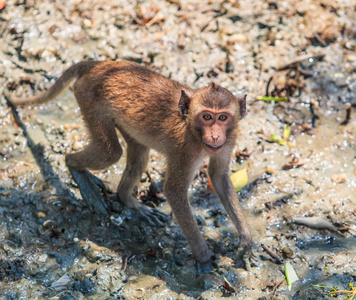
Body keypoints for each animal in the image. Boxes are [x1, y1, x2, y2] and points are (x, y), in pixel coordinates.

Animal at [6, 61, 252, 270]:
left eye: (223, 118)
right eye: (207, 117)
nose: (215, 136)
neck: (193, 129)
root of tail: (98, 65)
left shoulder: (229, 140)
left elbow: (218, 177)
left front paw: (246, 241)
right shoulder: (185, 148)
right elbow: (174, 190)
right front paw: (204, 258)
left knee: (139, 153)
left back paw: (127, 199)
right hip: (88, 98)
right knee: (110, 152)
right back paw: (78, 172)